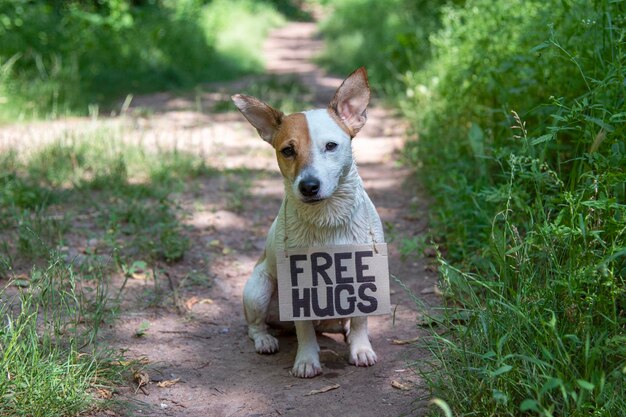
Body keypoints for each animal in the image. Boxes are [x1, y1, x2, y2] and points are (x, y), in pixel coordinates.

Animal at [232, 67, 382, 376]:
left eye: (331, 146)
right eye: (288, 150)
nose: (309, 186)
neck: (328, 218)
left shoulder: (364, 272)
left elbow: (361, 318)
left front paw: (361, 348)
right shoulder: (297, 283)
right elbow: (304, 331)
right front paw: (307, 360)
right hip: (259, 288)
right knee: (256, 326)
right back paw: (265, 339)